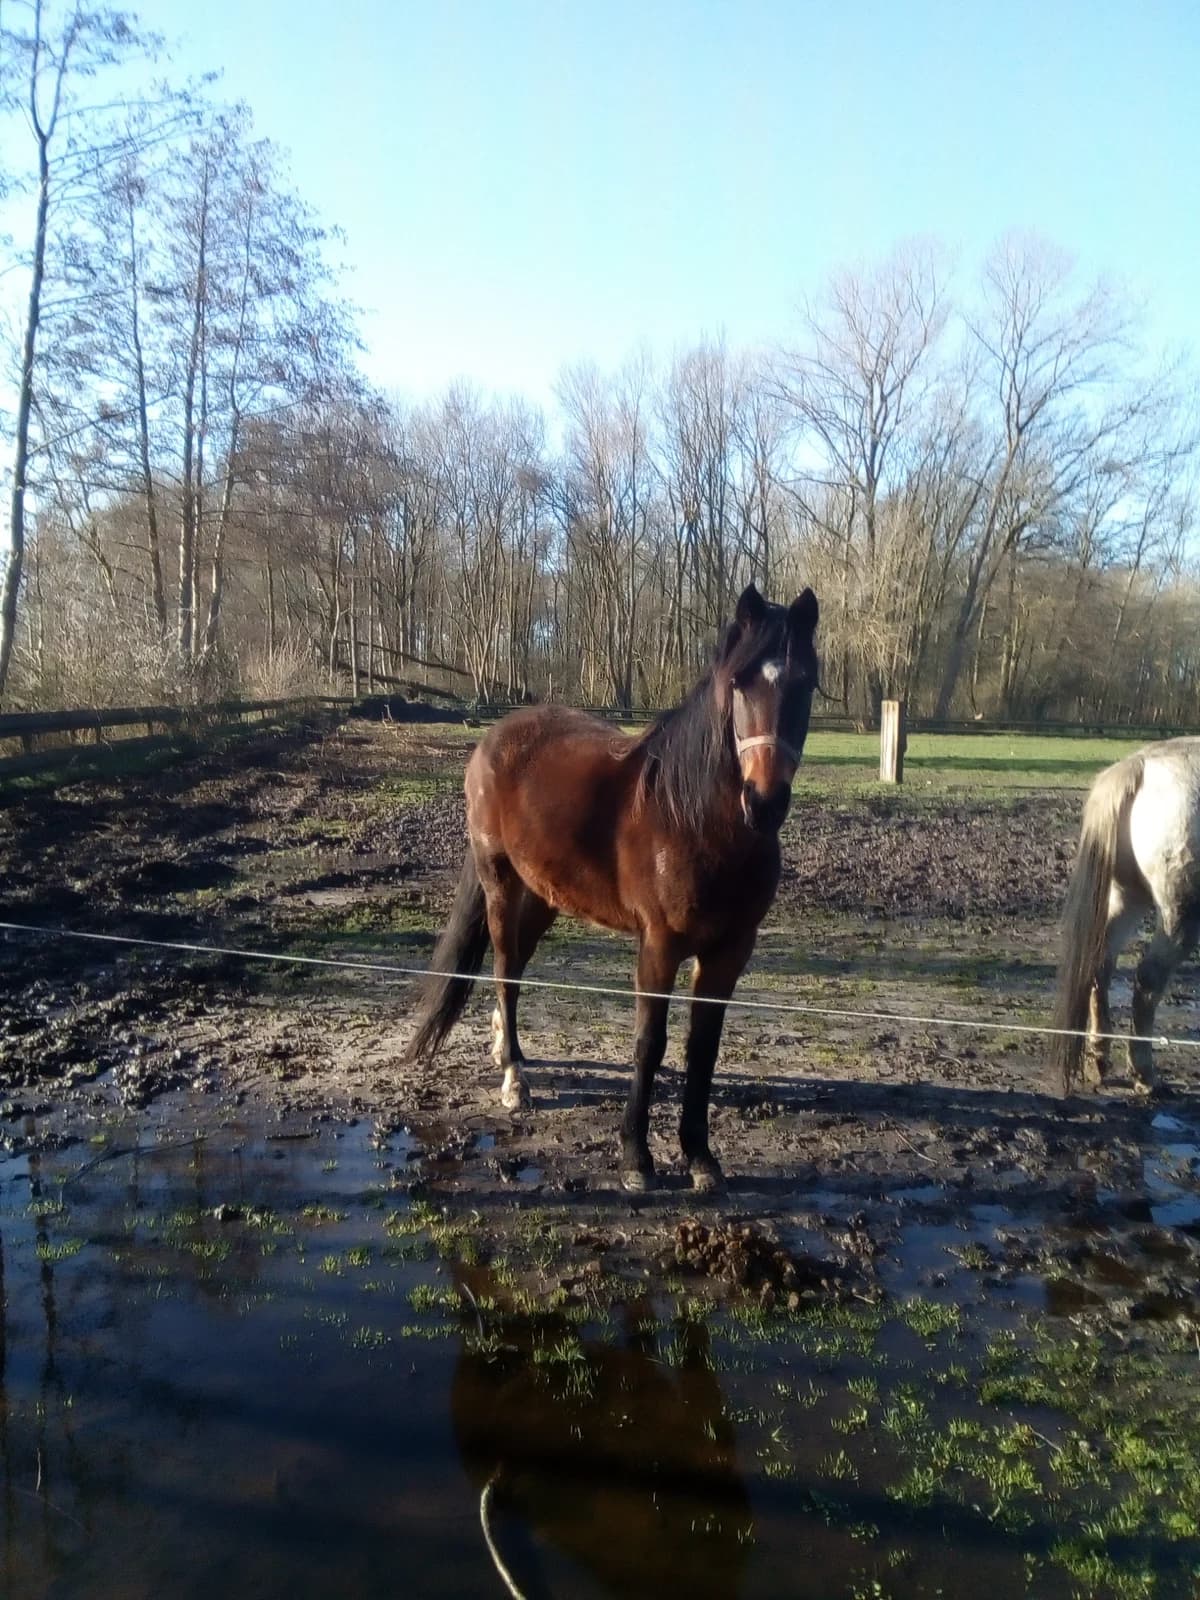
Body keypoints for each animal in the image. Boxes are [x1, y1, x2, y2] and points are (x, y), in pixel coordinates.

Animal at [405, 582, 820, 1192]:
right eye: (739, 682)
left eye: (804, 684)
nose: (764, 803)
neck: (692, 818)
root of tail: (495, 737)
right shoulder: (659, 946)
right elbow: (650, 1044)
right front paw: (635, 1159)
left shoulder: (729, 953)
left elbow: (703, 1048)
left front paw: (700, 1157)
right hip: (499, 880)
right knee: (504, 968)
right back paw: (514, 1078)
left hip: (545, 896)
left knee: (517, 966)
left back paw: (503, 1045)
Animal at [1053, 735, 1200, 1096]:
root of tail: (1142, 766)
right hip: (1179, 915)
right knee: (1148, 979)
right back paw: (1144, 1073)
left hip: (1127, 898)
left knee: (1100, 964)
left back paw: (1098, 1057)